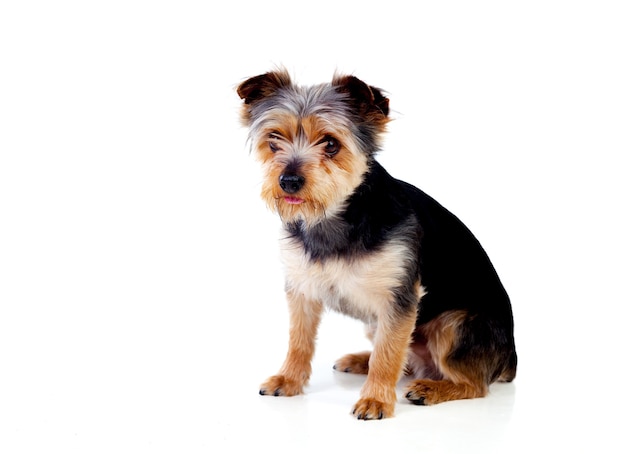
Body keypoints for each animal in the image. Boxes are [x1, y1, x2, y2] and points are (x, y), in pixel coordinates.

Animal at [236, 69, 516, 420]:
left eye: (331, 144)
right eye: (274, 139)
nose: (288, 181)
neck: (334, 217)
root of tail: (511, 360)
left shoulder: (398, 297)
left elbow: (388, 353)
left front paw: (376, 400)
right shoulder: (302, 289)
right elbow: (299, 340)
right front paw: (288, 379)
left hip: (457, 325)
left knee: (473, 383)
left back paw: (431, 388)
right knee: (407, 360)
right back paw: (362, 361)